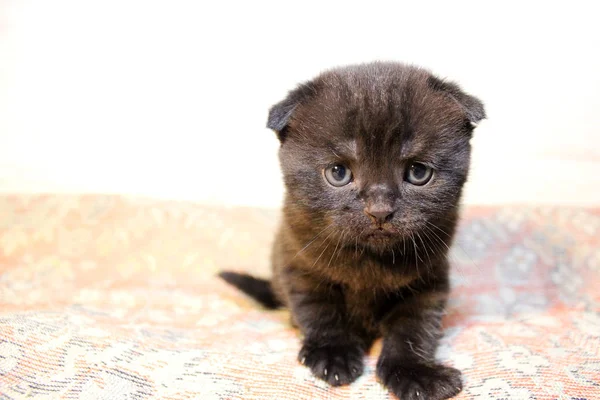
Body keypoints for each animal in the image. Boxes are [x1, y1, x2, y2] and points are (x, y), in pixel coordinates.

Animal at [218, 60, 486, 400]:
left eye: (418, 172)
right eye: (338, 172)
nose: (380, 209)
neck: (370, 261)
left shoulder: (428, 282)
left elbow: (414, 330)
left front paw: (416, 374)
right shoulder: (299, 266)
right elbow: (320, 312)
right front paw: (333, 356)